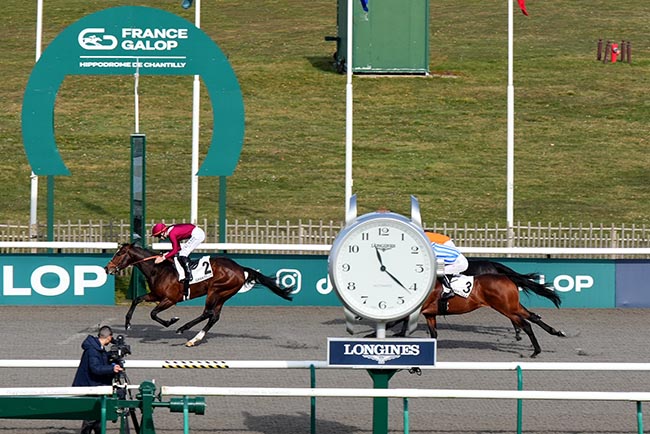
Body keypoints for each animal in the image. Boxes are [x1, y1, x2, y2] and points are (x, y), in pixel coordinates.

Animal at [104, 244, 294, 346]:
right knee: (214, 316)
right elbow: (136, 300)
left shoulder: (170, 299)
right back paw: (194, 339)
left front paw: (172, 321)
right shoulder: (155, 295)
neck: (158, 269)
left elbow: (153, 313)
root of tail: (241, 268)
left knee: (208, 313)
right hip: (223, 295)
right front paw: (127, 323)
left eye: (119, 254)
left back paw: (183, 328)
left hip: (215, 291)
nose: (107, 268)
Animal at [390, 260, 560, 358]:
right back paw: (555, 332)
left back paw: (535, 350)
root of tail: (505, 276)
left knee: (526, 324)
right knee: (533, 317)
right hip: (512, 305)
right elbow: (433, 334)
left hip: (505, 307)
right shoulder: (430, 314)